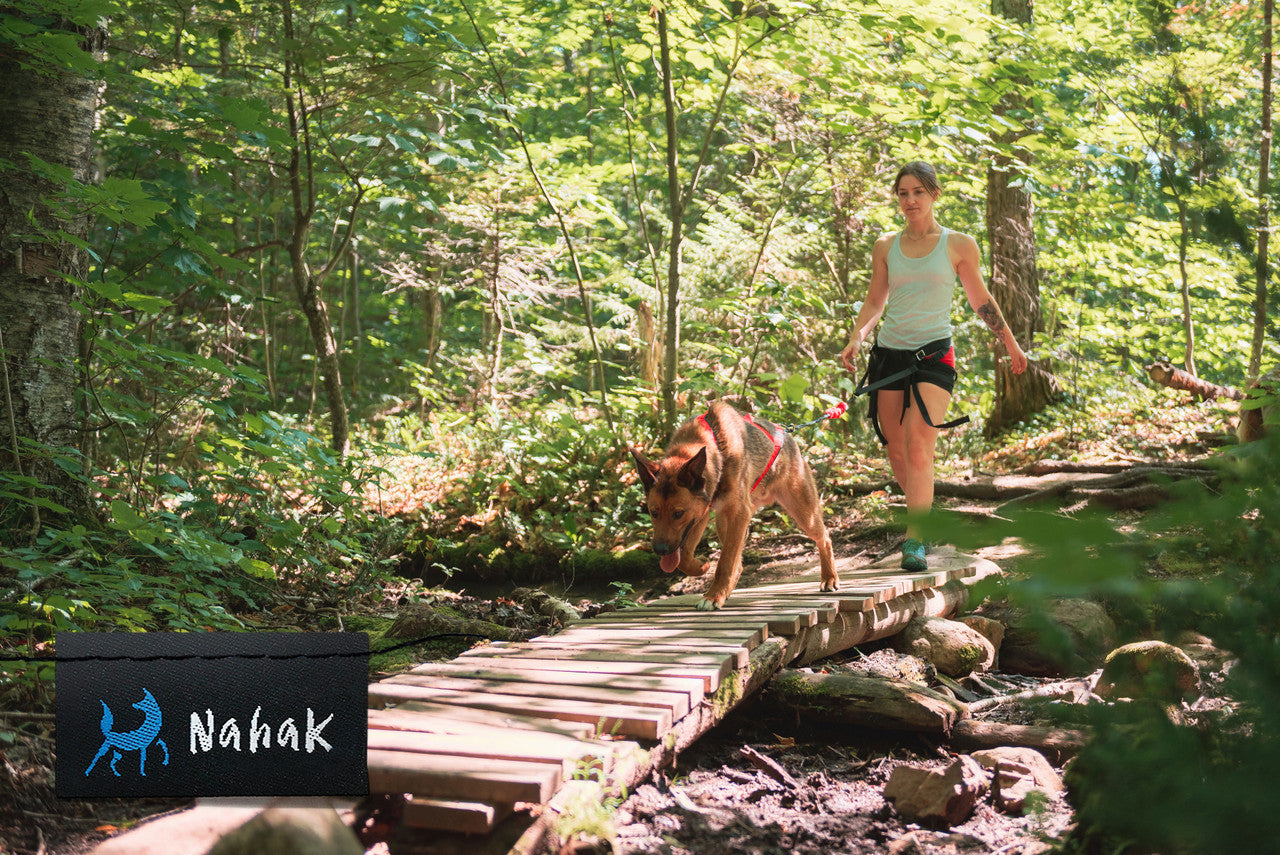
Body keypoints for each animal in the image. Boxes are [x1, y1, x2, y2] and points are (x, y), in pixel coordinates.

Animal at [629, 401, 839, 606]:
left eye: (678, 513)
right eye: (653, 513)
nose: (659, 550)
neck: (716, 448)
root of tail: (788, 435)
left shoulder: (736, 514)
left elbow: (725, 562)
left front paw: (713, 597)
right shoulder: (701, 515)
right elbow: (685, 558)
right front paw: (701, 566)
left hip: (803, 514)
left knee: (825, 539)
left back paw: (829, 578)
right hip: (724, 521)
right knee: (738, 564)